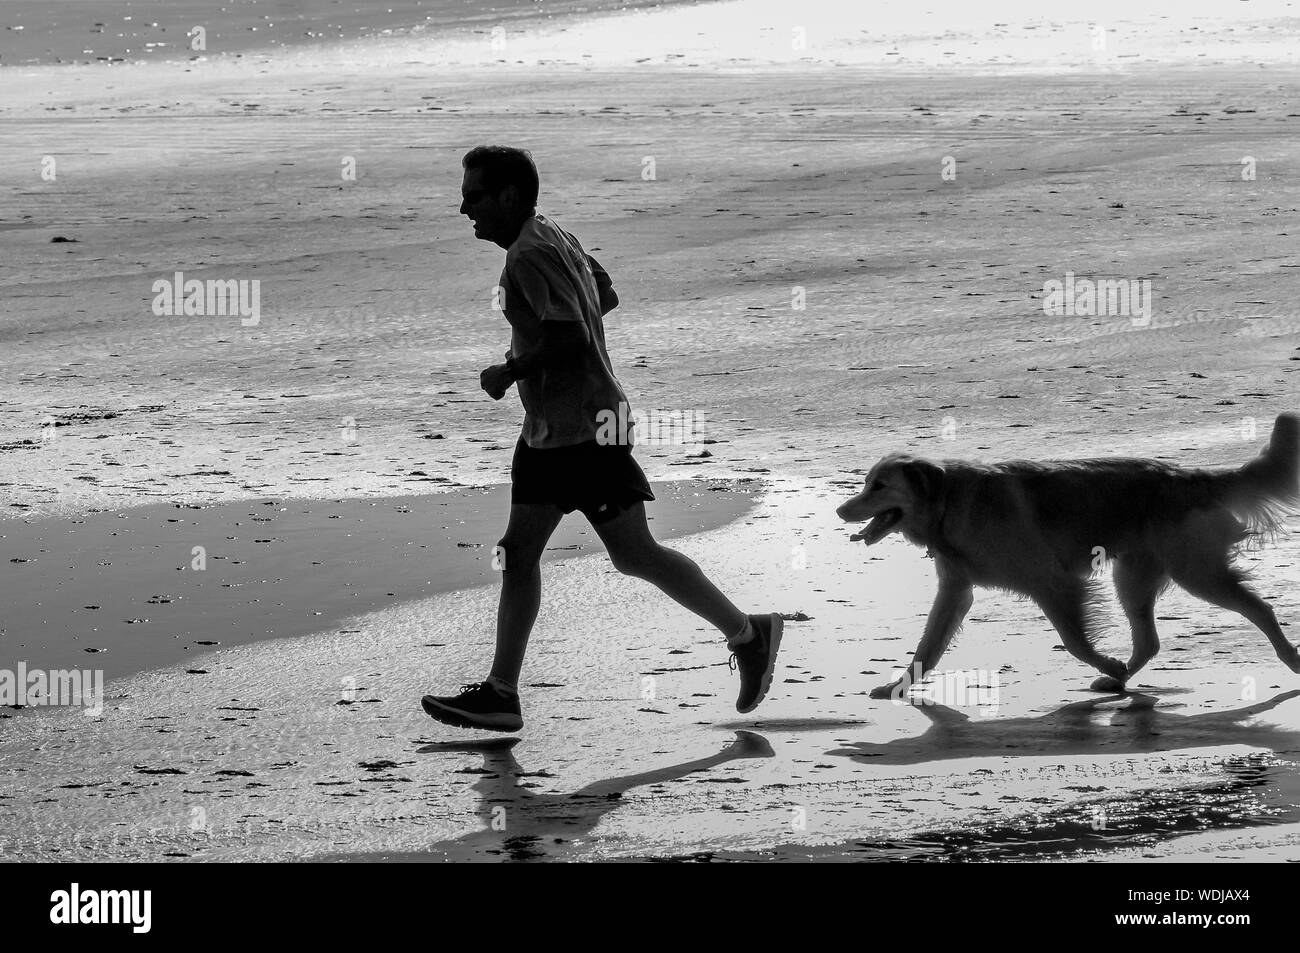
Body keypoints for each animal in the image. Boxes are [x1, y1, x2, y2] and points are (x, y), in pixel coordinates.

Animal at [837, 413, 1294, 696]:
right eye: (866, 483)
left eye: (879, 486)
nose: (841, 510)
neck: (948, 501)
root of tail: (1192, 476)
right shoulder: (956, 591)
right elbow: (927, 648)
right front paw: (898, 686)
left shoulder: (1053, 583)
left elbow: (1074, 641)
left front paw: (1107, 663)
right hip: (1134, 579)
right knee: (1149, 642)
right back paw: (1120, 680)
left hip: (1196, 571)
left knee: (1261, 609)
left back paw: (1292, 659)